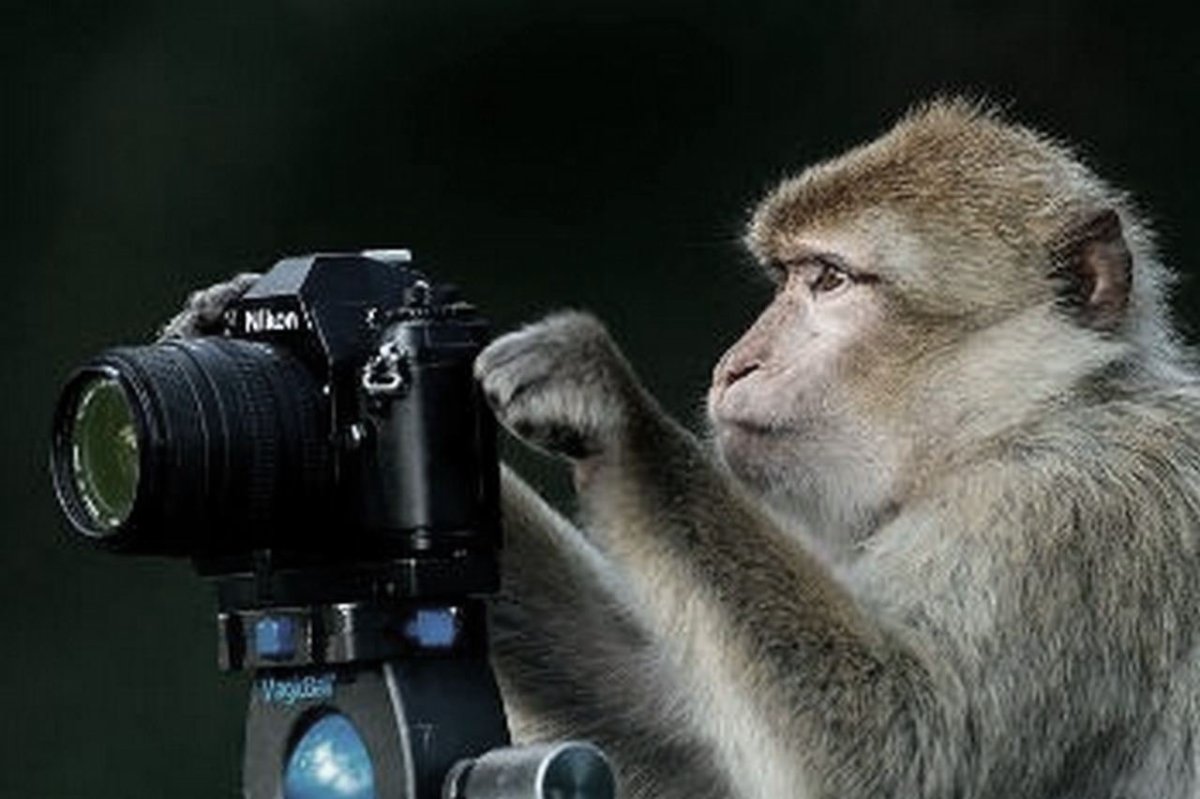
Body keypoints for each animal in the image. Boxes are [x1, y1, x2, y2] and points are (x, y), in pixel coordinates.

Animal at [165, 99, 1200, 798]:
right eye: (786, 276)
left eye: (829, 280)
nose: (737, 363)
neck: (1024, 418)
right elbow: (687, 735)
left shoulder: (1068, 518)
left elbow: (902, 752)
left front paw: (607, 403)